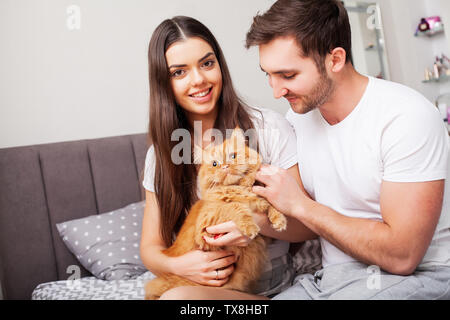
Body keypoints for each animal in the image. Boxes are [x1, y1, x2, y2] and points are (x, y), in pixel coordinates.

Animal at [145, 127, 288, 300]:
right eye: (215, 164)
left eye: (233, 156)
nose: (224, 166)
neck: (238, 188)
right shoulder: (207, 226)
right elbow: (233, 206)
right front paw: (250, 226)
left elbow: (269, 203)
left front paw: (279, 219)